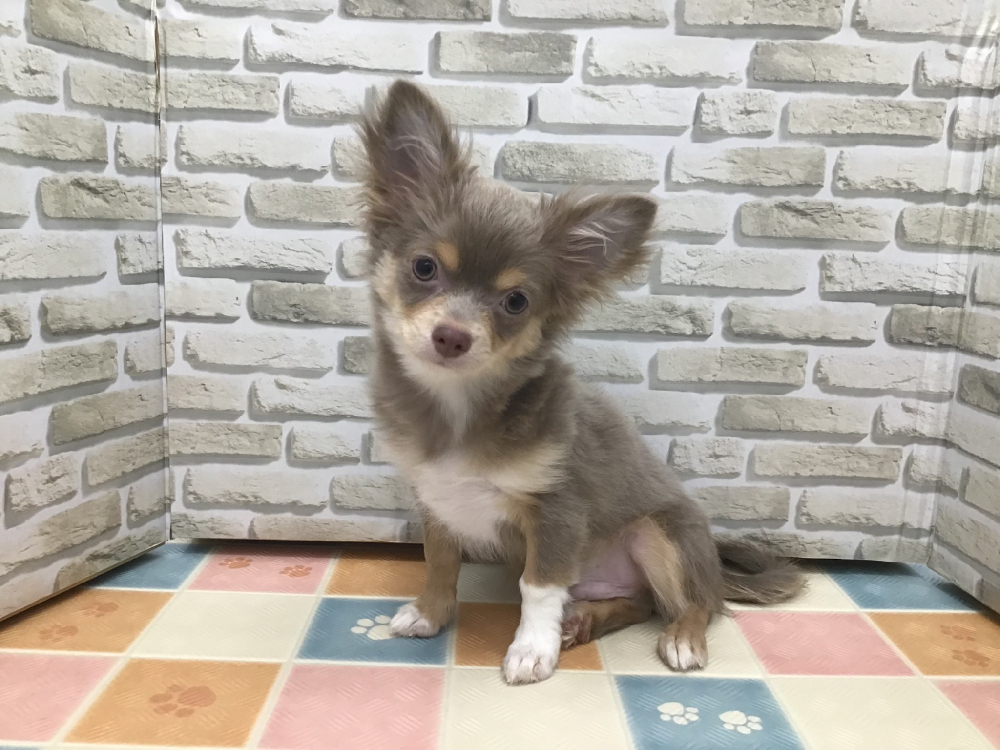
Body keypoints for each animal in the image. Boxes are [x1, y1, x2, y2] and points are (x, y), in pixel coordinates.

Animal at [358, 80, 803, 685]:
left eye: (516, 302)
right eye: (424, 268)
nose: (452, 336)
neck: (459, 409)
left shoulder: (557, 510)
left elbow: (539, 587)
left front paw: (531, 651)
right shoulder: (435, 499)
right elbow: (441, 561)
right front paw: (429, 614)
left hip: (662, 534)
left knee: (694, 604)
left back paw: (678, 640)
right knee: (638, 602)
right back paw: (586, 620)